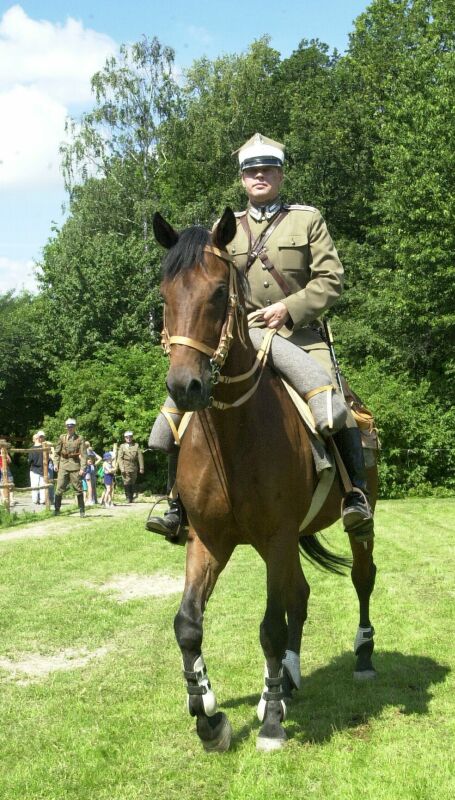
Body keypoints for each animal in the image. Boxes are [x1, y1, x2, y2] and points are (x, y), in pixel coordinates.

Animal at [153, 206, 378, 752]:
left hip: (356, 525)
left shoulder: (276, 538)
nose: (185, 387)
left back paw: (360, 657)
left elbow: (271, 627)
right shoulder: (209, 540)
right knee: (300, 595)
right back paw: (289, 680)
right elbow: (188, 624)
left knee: (362, 579)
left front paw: (272, 721)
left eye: (218, 292)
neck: (232, 437)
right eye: (165, 296)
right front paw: (207, 713)